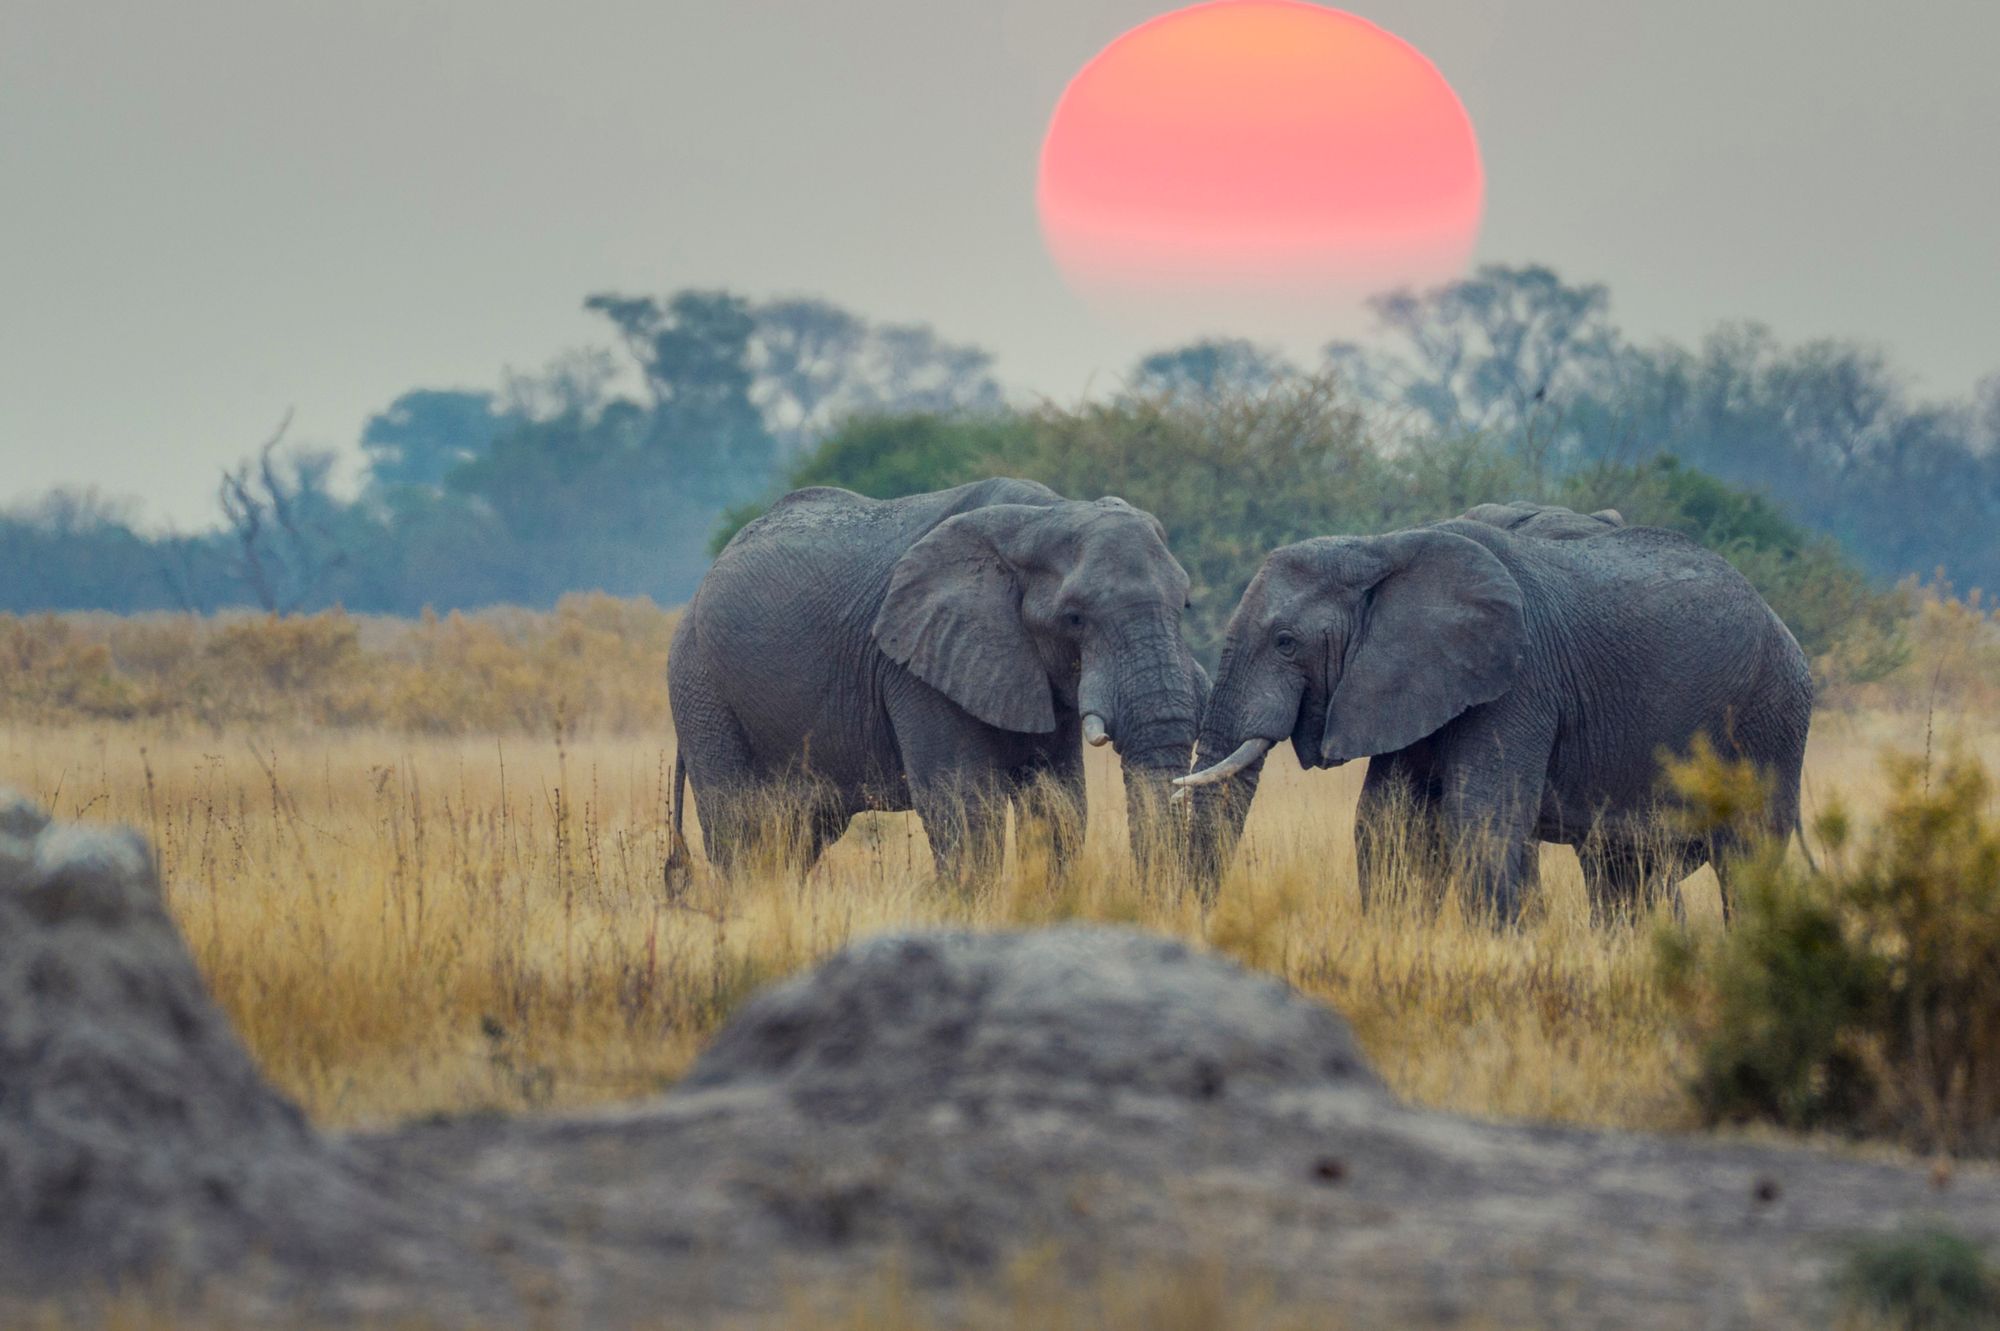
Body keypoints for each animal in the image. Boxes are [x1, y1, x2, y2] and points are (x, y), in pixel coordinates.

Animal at [668, 477, 1200, 879]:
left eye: (1186, 604)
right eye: (1074, 618)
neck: (1045, 515)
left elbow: (1060, 805)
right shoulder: (915, 665)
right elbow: (964, 807)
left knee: (797, 837)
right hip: (701, 689)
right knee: (741, 832)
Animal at [1176, 511, 1824, 919]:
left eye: (1286, 642)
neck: (1380, 546)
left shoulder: (1518, 682)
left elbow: (1480, 819)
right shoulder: (1409, 682)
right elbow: (1388, 822)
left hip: (1771, 719)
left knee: (1746, 861)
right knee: (1626, 872)